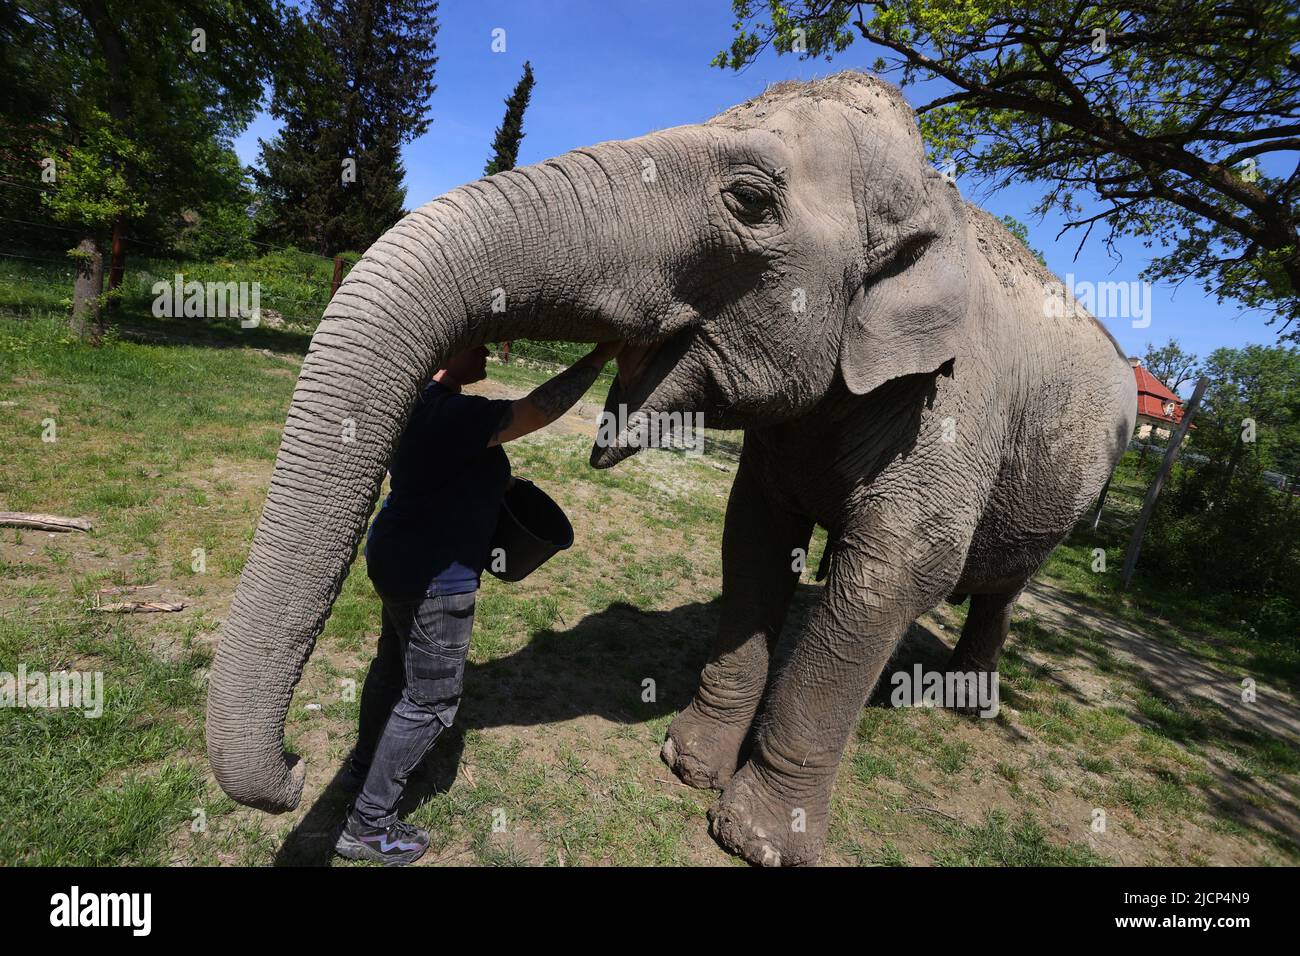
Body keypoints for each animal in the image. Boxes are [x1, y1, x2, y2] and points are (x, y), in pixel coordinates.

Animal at [205, 72, 1138, 868]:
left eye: (751, 201)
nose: (296, 766)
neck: (933, 196)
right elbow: (752, 540)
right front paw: (686, 764)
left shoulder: (949, 409)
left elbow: (898, 573)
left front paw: (756, 841)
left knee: (1000, 585)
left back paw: (966, 702)